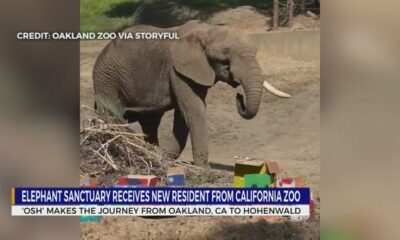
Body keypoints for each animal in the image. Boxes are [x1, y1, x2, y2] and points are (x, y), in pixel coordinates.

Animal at [92, 20, 290, 169]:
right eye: (226, 55)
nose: (239, 96)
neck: (207, 30)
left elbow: (183, 113)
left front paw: (167, 158)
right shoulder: (177, 69)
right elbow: (194, 108)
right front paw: (204, 169)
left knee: (150, 122)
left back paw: (152, 151)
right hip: (107, 77)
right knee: (113, 115)